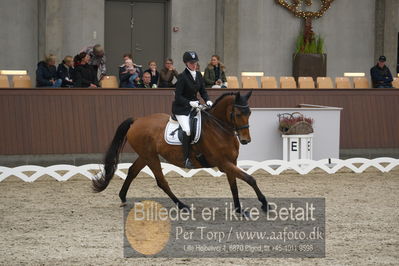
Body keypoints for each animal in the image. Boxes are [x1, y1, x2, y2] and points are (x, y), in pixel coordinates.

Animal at [92, 91, 270, 214]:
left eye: (249, 113)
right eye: (238, 114)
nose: (246, 140)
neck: (220, 129)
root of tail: (137, 121)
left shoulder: (231, 162)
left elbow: (234, 184)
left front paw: (239, 209)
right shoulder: (223, 163)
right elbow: (250, 179)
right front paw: (265, 204)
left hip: (145, 155)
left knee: (132, 171)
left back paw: (123, 197)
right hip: (151, 157)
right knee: (161, 182)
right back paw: (182, 206)